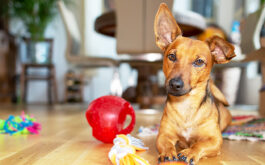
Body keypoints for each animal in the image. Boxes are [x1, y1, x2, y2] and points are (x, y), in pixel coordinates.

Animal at [154, 3, 234, 164]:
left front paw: (190, 152)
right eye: (172, 56)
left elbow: (200, 144)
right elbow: (165, 143)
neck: (186, 105)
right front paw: (167, 152)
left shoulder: (215, 140)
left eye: (199, 62)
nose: (175, 84)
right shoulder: (163, 135)